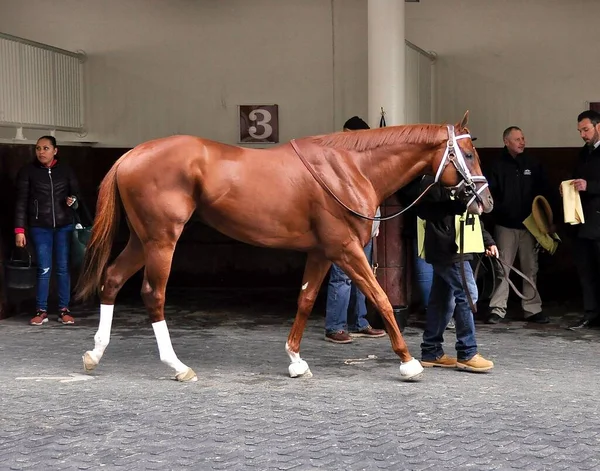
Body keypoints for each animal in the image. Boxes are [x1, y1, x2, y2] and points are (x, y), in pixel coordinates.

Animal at [76, 113, 492, 384]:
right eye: (470, 155)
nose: (485, 202)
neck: (350, 168)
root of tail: (130, 155)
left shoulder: (322, 252)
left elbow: (305, 300)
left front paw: (295, 360)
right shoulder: (346, 250)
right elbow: (381, 298)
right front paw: (408, 362)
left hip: (142, 239)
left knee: (112, 279)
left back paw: (95, 354)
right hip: (162, 239)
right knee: (153, 294)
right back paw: (177, 366)